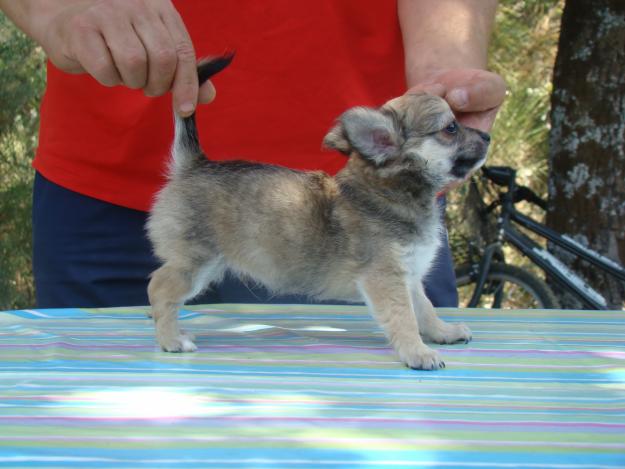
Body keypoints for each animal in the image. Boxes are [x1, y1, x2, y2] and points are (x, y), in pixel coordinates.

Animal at [146, 55, 488, 370]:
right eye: (451, 128)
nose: (487, 136)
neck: (391, 191)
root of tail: (195, 164)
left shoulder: (411, 277)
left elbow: (425, 309)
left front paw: (443, 332)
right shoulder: (387, 278)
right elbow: (404, 318)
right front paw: (418, 352)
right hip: (195, 262)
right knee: (158, 288)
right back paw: (171, 339)